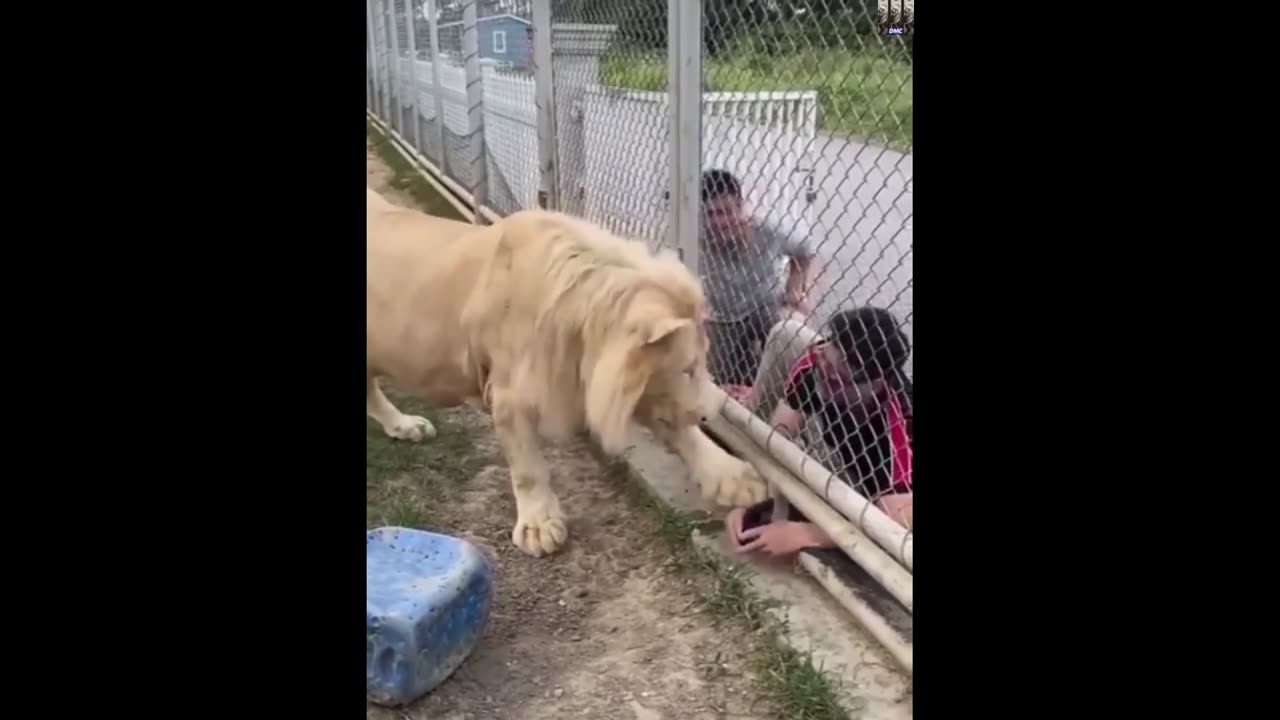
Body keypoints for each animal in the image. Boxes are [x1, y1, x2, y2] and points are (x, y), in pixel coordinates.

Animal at [371, 189, 768, 556]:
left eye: (702, 362)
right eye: (687, 368)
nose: (709, 413)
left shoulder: (621, 385)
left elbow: (680, 429)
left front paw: (733, 477)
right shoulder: (509, 394)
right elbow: (528, 468)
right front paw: (539, 527)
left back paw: (405, 426)